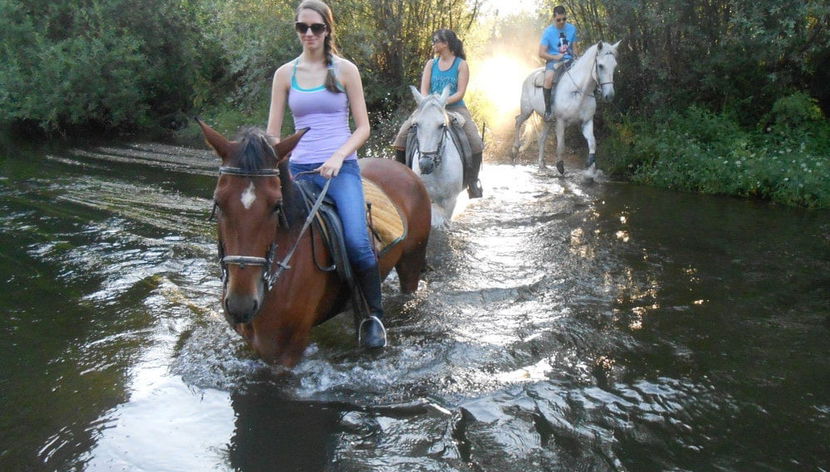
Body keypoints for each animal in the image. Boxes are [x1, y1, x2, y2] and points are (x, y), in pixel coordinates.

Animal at [197, 120, 431, 367]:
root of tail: (404, 170)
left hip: (412, 261)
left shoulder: (286, 354)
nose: (240, 304)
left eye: (276, 206)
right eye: (219, 202)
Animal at [512, 40, 621, 172]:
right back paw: (514, 151)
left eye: (614, 66)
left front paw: (590, 163)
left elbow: (592, 142)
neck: (578, 91)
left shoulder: (587, 122)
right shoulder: (560, 122)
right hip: (527, 110)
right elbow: (561, 146)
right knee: (518, 121)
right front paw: (560, 165)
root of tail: (530, 76)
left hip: (547, 119)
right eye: (600, 66)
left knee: (542, 137)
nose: (609, 95)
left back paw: (541, 163)